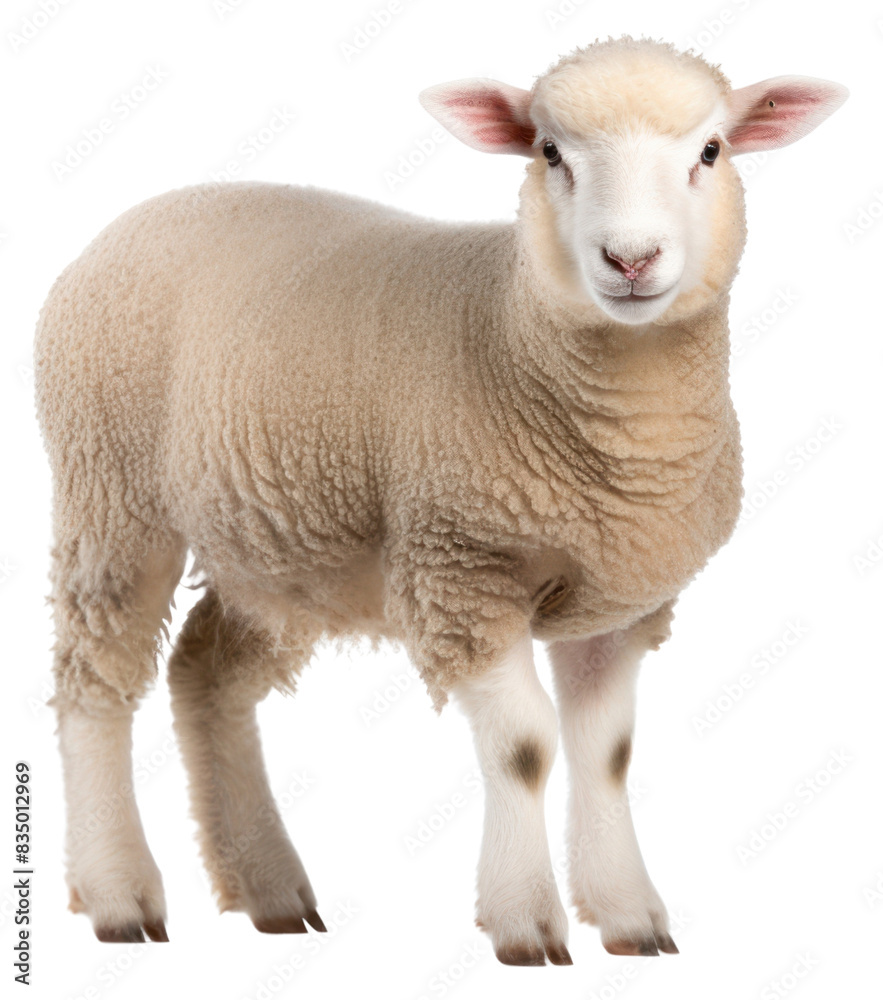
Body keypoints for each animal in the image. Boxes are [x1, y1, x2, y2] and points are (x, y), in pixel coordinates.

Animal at [34, 36, 847, 963]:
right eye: (549, 152)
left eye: (710, 152)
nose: (631, 259)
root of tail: (137, 215)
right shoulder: (462, 568)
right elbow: (526, 746)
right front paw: (525, 921)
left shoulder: (615, 598)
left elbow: (605, 752)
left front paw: (630, 915)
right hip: (109, 491)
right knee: (96, 678)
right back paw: (118, 894)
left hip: (272, 543)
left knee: (204, 672)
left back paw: (270, 888)